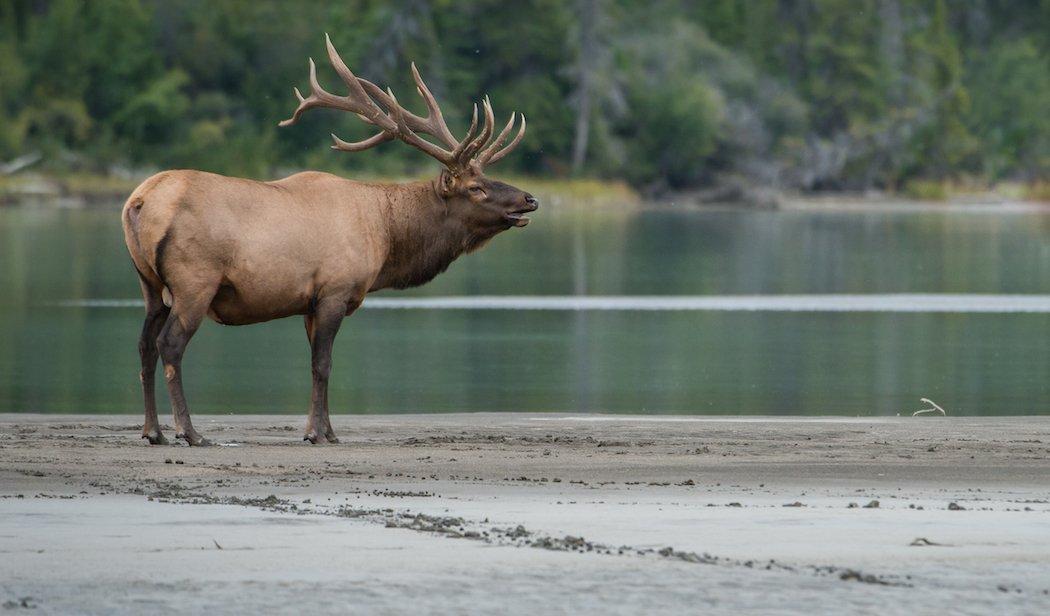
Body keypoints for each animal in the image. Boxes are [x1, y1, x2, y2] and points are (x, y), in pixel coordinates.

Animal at [119, 33, 537, 444]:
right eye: (476, 188)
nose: (529, 199)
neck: (385, 237)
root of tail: (138, 202)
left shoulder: (309, 302)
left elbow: (315, 366)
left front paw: (326, 431)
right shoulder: (335, 290)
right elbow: (324, 365)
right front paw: (316, 434)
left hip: (149, 283)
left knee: (143, 345)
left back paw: (153, 431)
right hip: (195, 280)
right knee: (170, 345)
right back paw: (189, 432)